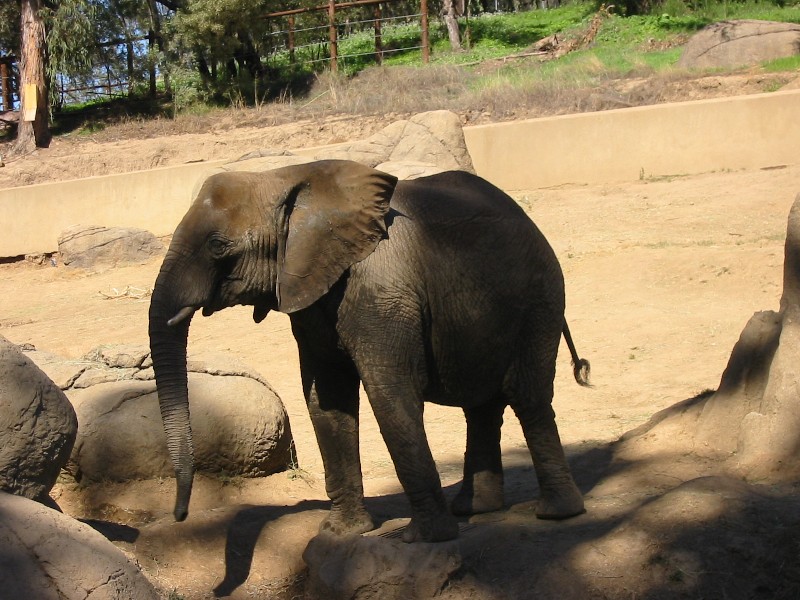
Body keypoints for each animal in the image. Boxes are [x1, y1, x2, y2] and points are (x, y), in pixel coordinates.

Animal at [148, 158, 588, 544]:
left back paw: (557, 513)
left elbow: (389, 391)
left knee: (528, 397)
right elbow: (325, 398)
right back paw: (475, 510)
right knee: (481, 406)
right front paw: (341, 534)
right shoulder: (310, 291)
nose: (180, 514)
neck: (283, 177)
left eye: (218, 246)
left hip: (540, 301)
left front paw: (422, 539)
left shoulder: (382, 289)